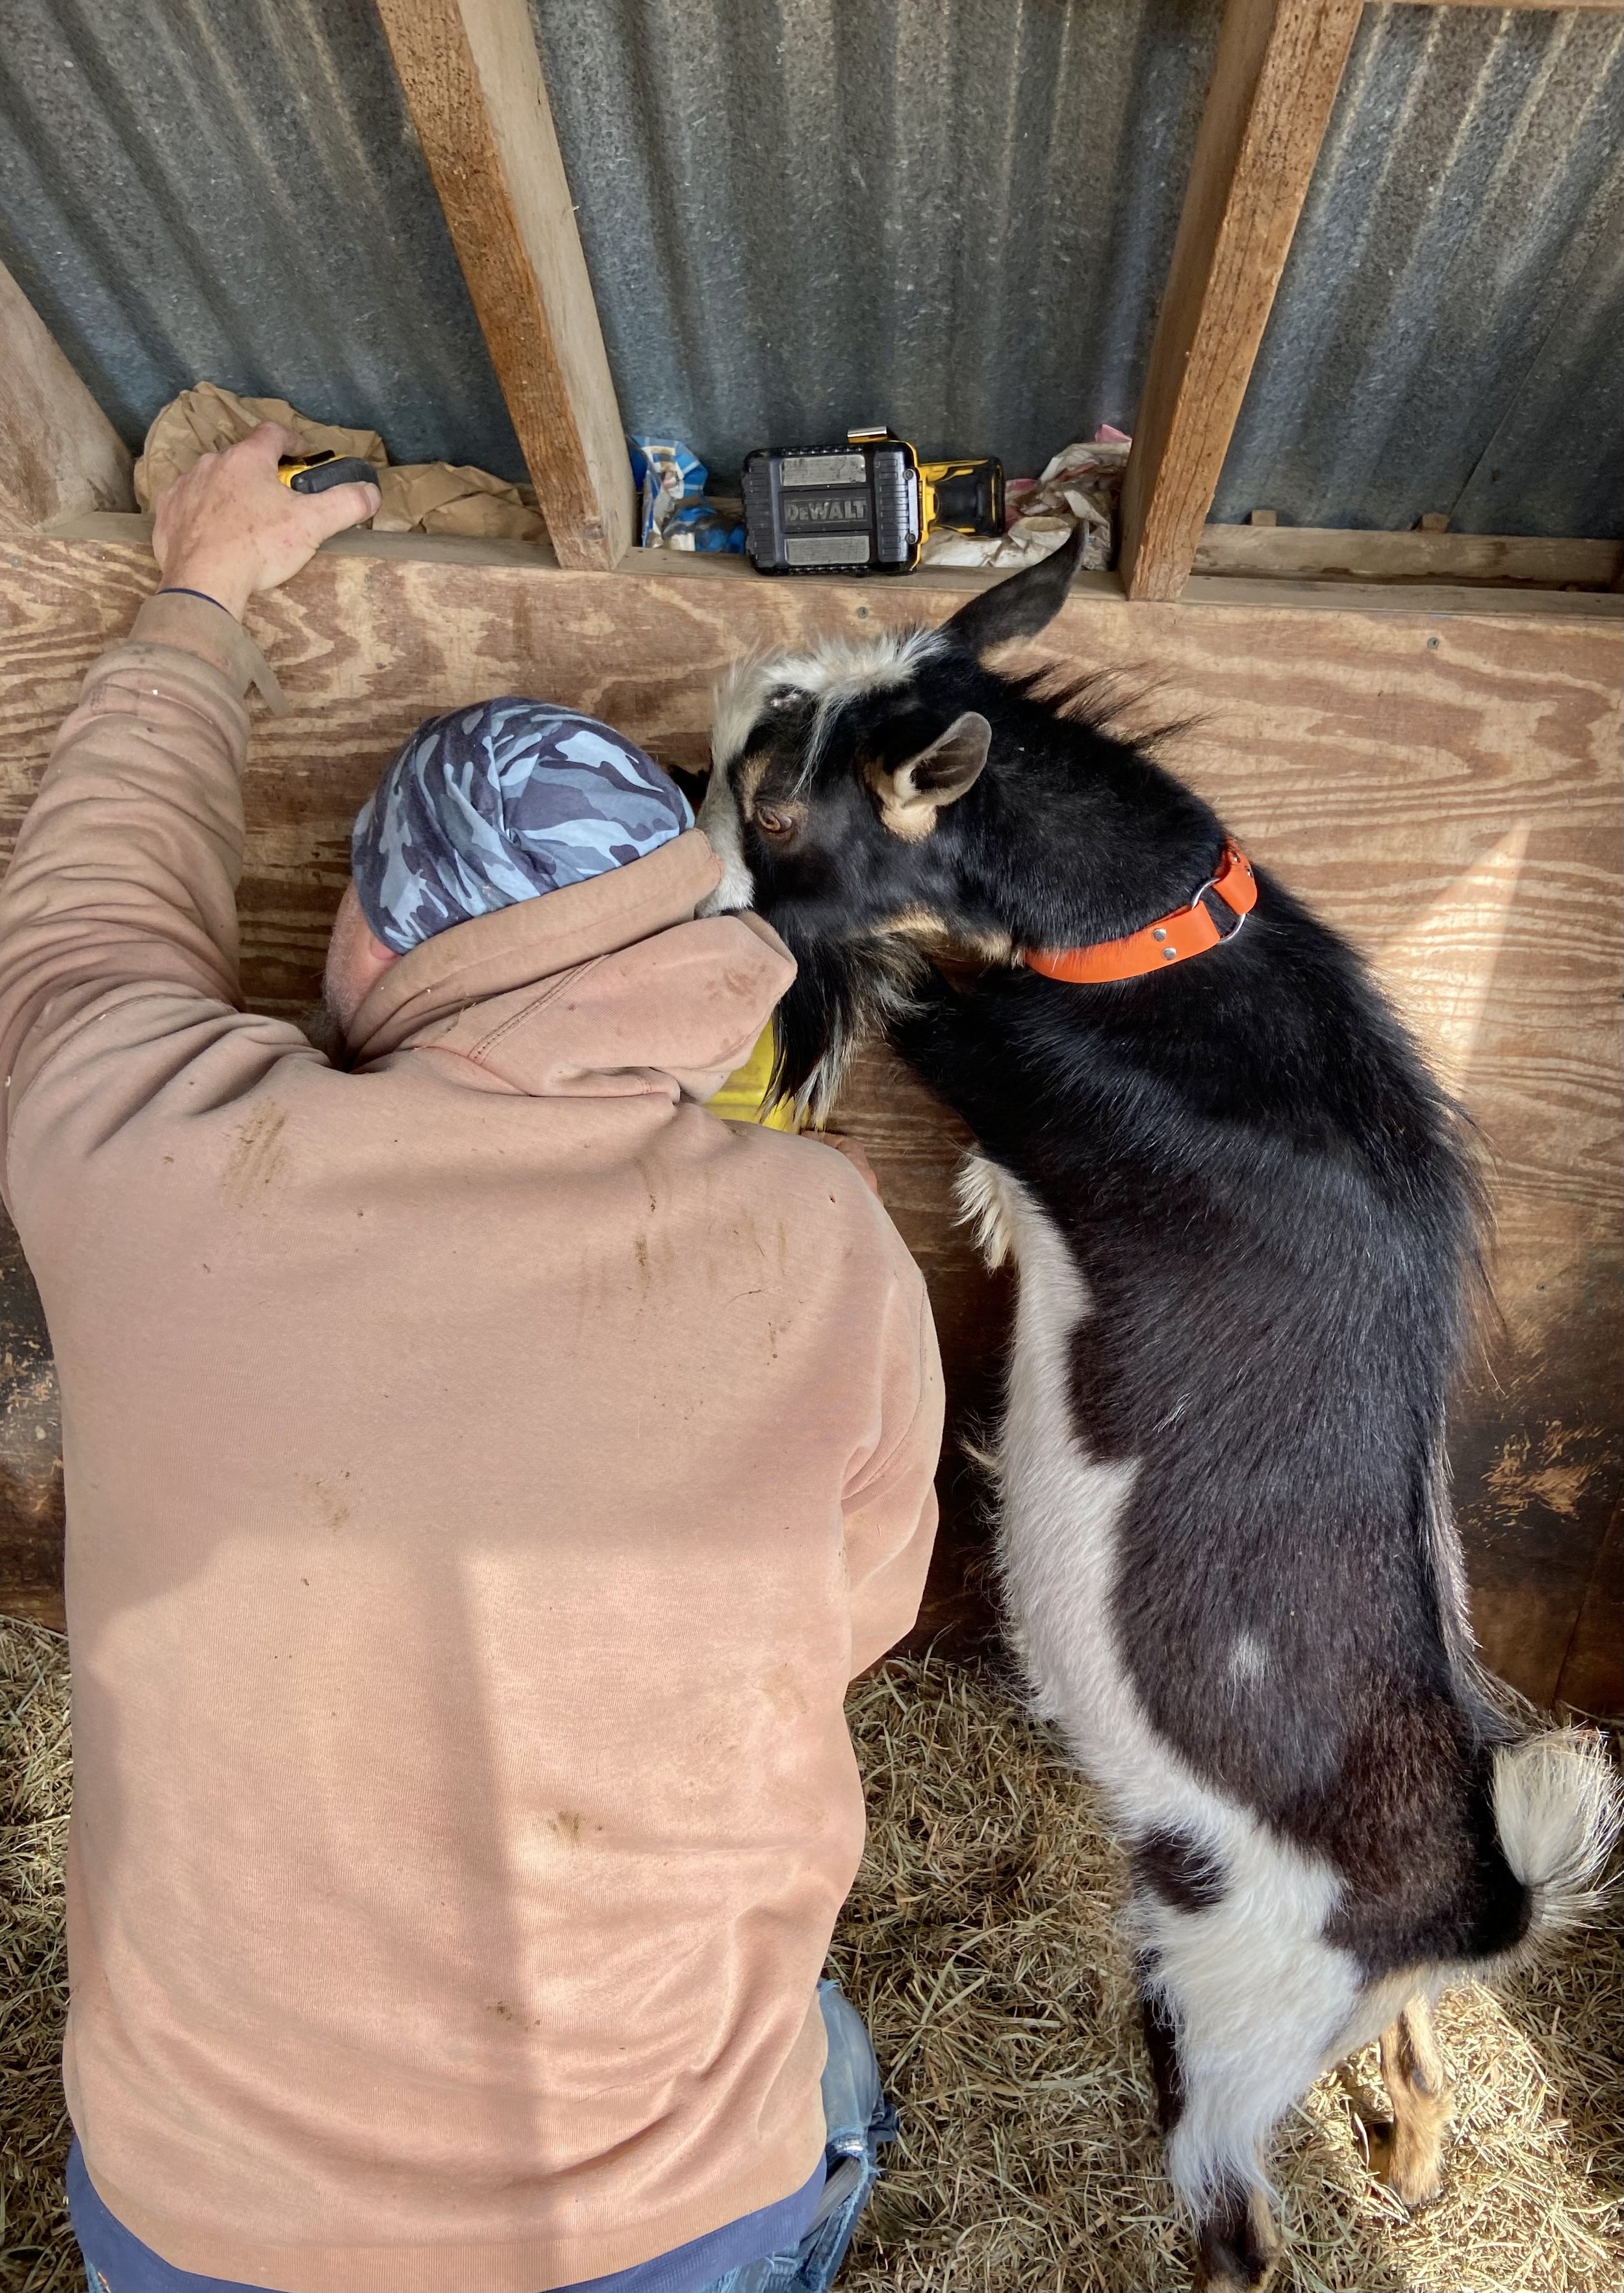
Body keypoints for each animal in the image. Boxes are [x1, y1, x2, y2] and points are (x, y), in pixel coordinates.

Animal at [702, 537, 1624, 2293]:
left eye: (779, 808)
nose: (695, 872)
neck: (1171, 948)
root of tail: (1473, 1901)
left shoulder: (1019, 1063)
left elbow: (920, 995)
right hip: (1350, 2001)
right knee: (1412, 2062)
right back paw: (1405, 2169)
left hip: (1225, 1996)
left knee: (1238, 2214)